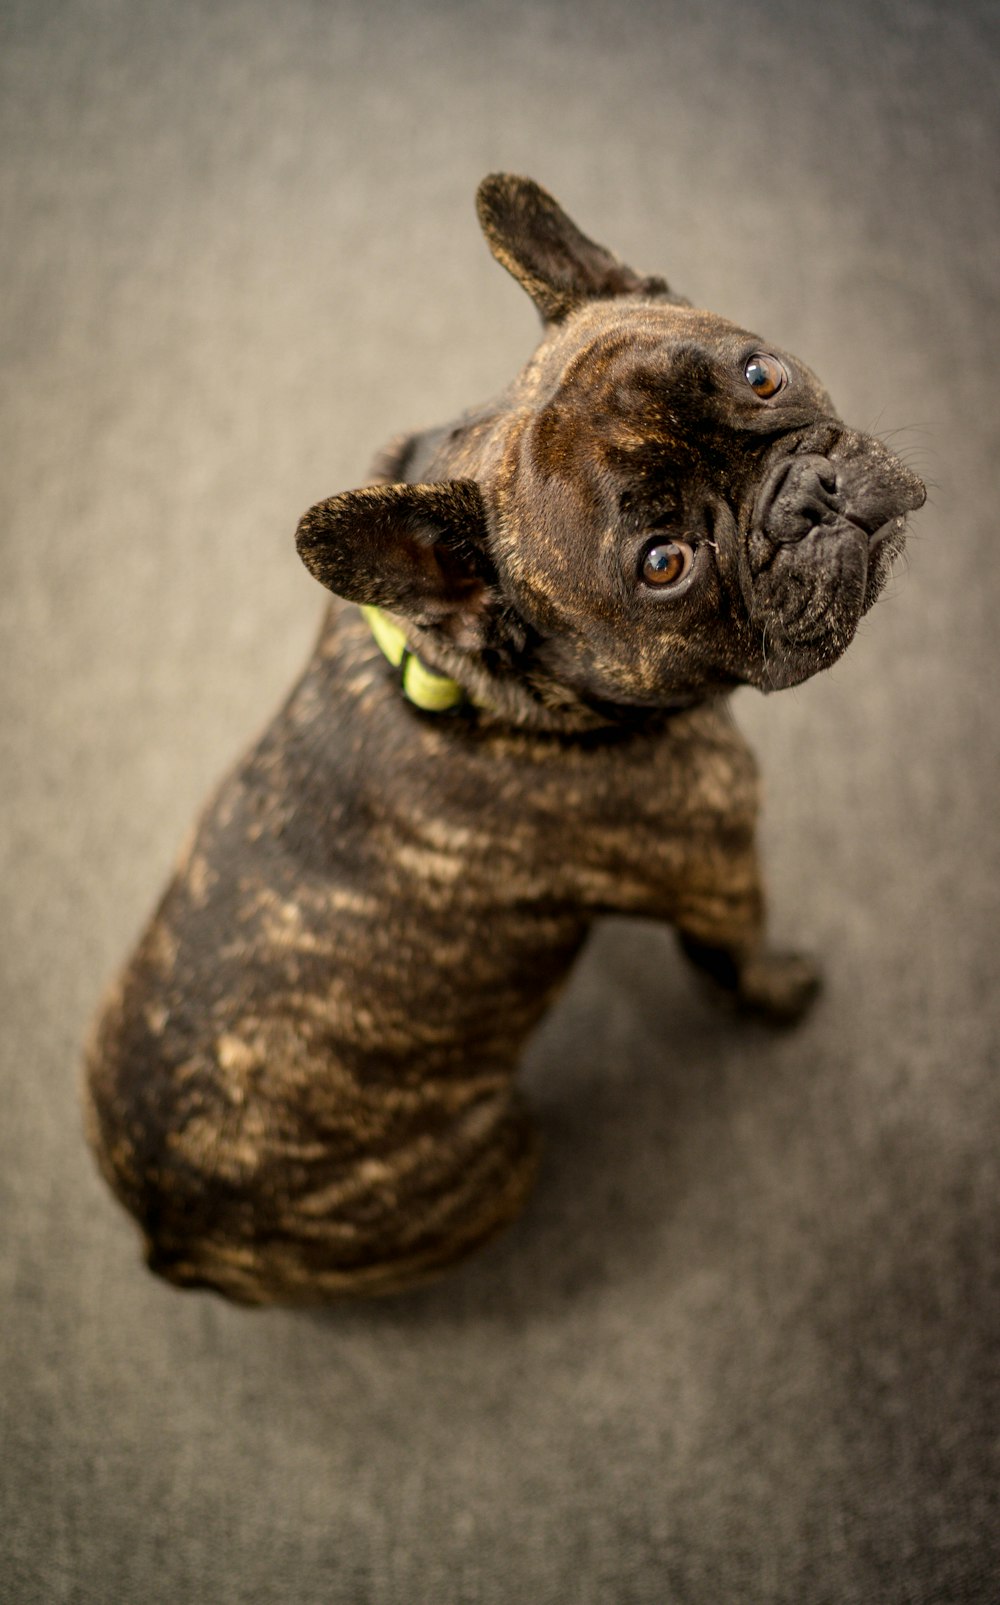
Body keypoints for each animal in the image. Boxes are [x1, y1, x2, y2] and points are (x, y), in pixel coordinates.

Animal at [82, 175, 924, 1303]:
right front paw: (782, 991)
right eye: (663, 563)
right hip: (505, 1150)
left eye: (760, 373)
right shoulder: (718, 870)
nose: (807, 497)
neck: (482, 680)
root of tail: (168, 1239)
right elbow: (737, 959)